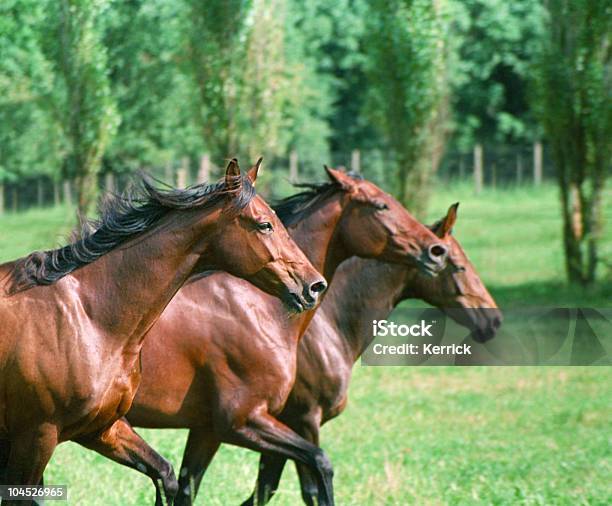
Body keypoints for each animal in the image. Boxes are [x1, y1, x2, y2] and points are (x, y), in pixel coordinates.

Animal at [0, 159, 326, 506]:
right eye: (264, 225)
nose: (314, 286)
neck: (90, 317)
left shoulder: (101, 428)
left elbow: (166, 476)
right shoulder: (37, 436)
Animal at [124, 167, 450, 506]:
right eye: (381, 205)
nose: (436, 250)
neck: (258, 310)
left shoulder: (208, 430)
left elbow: (193, 488)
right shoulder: (246, 420)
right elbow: (319, 469)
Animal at [241, 203, 504, 506]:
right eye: (459, 266)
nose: (493, 320)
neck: (326, 326)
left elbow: (263, 489)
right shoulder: (303, 420)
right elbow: (308, 491)